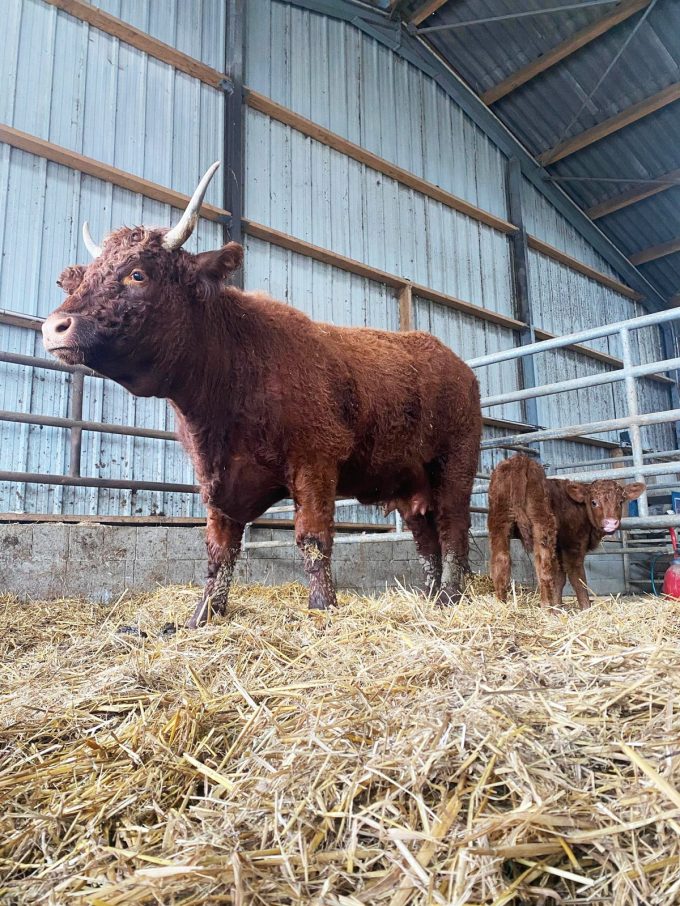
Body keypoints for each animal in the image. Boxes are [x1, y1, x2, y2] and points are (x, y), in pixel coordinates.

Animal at [42, 162, 482, 628]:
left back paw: (450, 598)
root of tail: (455, 362)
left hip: (455, 465)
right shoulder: (215, 479)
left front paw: (322, 608)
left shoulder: (315, 461)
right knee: (426, 539)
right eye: (81, 279)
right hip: (410, 484)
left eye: (138, 273)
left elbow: (312, 539)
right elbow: (219, 550)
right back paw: (430, 599)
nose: (53, 327)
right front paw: (201, 617)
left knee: (454, 530)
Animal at [488, 454, 644, 609]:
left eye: (620, 502)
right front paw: (585, 607)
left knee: (500, 561)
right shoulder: (574, 544)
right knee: (543, 566)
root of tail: (520, 460)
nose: (611, 523)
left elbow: (560, 578)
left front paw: (558, 606)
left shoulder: (559, 547)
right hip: (542, 523)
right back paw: (547, 608)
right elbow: (577, 577)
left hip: (499, 521)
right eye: (594, 502)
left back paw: (502, 605)